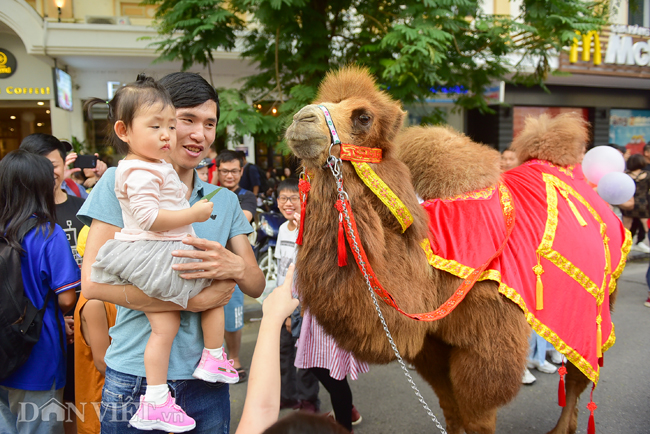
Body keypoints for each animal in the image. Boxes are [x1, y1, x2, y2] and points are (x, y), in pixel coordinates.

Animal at [284, 65, 628, 434]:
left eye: (363, 117)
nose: (301, 119)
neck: (430, 268)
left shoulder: (488, 343)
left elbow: (477, 417)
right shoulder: (432, 346)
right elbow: (450, 408)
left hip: (598, 302)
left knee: (580, 374)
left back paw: (562, 427)